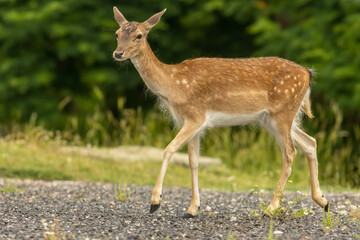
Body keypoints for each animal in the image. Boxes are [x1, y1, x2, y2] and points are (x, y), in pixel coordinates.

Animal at [112, 7, 330, 218]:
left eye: (139, 35)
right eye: (117, 33)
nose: (118, 53)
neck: (173, 86)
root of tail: (308, 74)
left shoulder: (196, 116)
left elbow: (168, 150)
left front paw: (155, 202)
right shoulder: (193, 123)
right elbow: (193, 162)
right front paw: (192, 209)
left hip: (282, 114)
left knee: (290, 153)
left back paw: (270, 209)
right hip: (274, 118)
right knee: (310, 142)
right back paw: (323, 201)